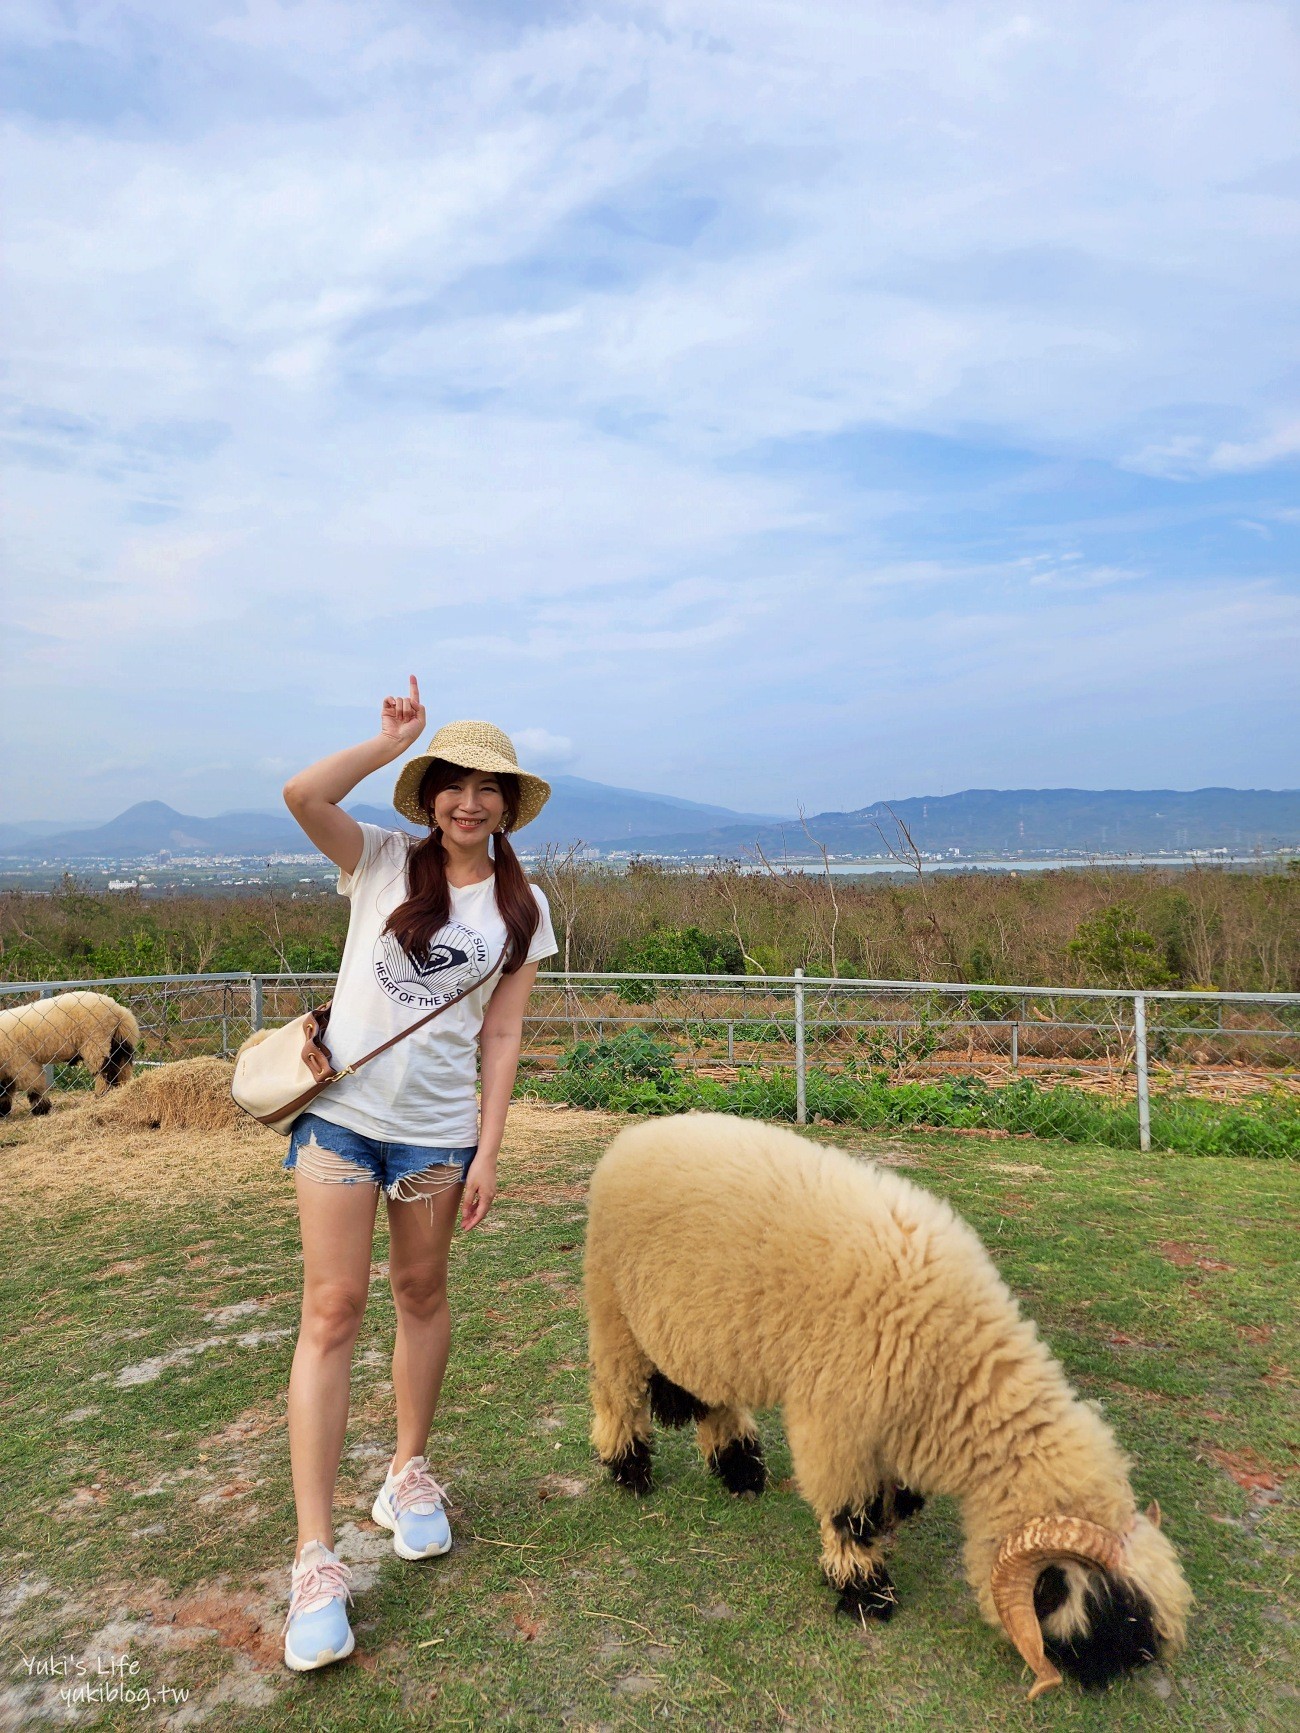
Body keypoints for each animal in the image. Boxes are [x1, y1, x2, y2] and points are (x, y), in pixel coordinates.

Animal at [0, 991, 140, 1122]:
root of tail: (118, 1010)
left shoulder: (20, 1060)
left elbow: (33, 1084)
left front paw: (41, 1109)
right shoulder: (6, 1069)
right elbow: (4, 1090)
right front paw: (3, 1110)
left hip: (96, 1038)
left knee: (104, 1069)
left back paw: (102, 1093)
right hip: (117, 1040)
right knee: (122, 1065)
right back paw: (121, 1088)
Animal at [585, 1116, 1199, 1698]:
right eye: (1117, 1612)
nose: (1117, 1678)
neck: (956, 1363)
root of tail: (636, 1135)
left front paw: (894, 1512)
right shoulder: (834, 1421)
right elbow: (848, 1515)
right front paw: (865, 1593)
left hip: (702, 1330)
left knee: (712, 1400)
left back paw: (740, 1472)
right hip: (611, 1307)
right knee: (616, 1394)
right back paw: (629, 1470)